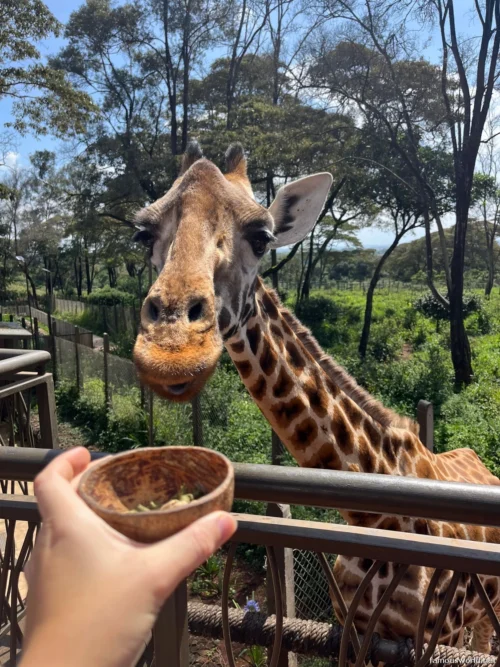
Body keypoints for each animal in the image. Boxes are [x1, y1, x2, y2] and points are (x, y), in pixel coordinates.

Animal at [132, 141, 500, 653]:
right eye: (142, 233)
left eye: (262, 236)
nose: (172, 350)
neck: (373, 516)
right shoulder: (354, 630)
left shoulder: (430, 637)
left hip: (481, 614)